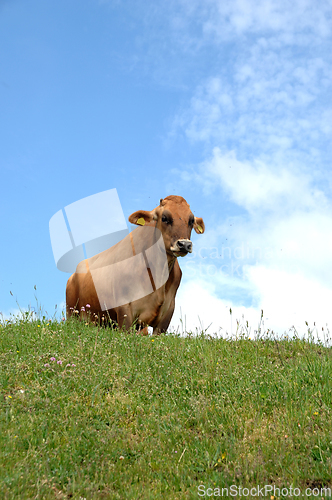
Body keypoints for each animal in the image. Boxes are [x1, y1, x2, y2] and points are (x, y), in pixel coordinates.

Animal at [65, 194, 205, 332]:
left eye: (191, 220)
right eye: (164, 218)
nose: (184, 244)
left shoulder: (167, 313)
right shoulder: (124, 308)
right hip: (72, 313)